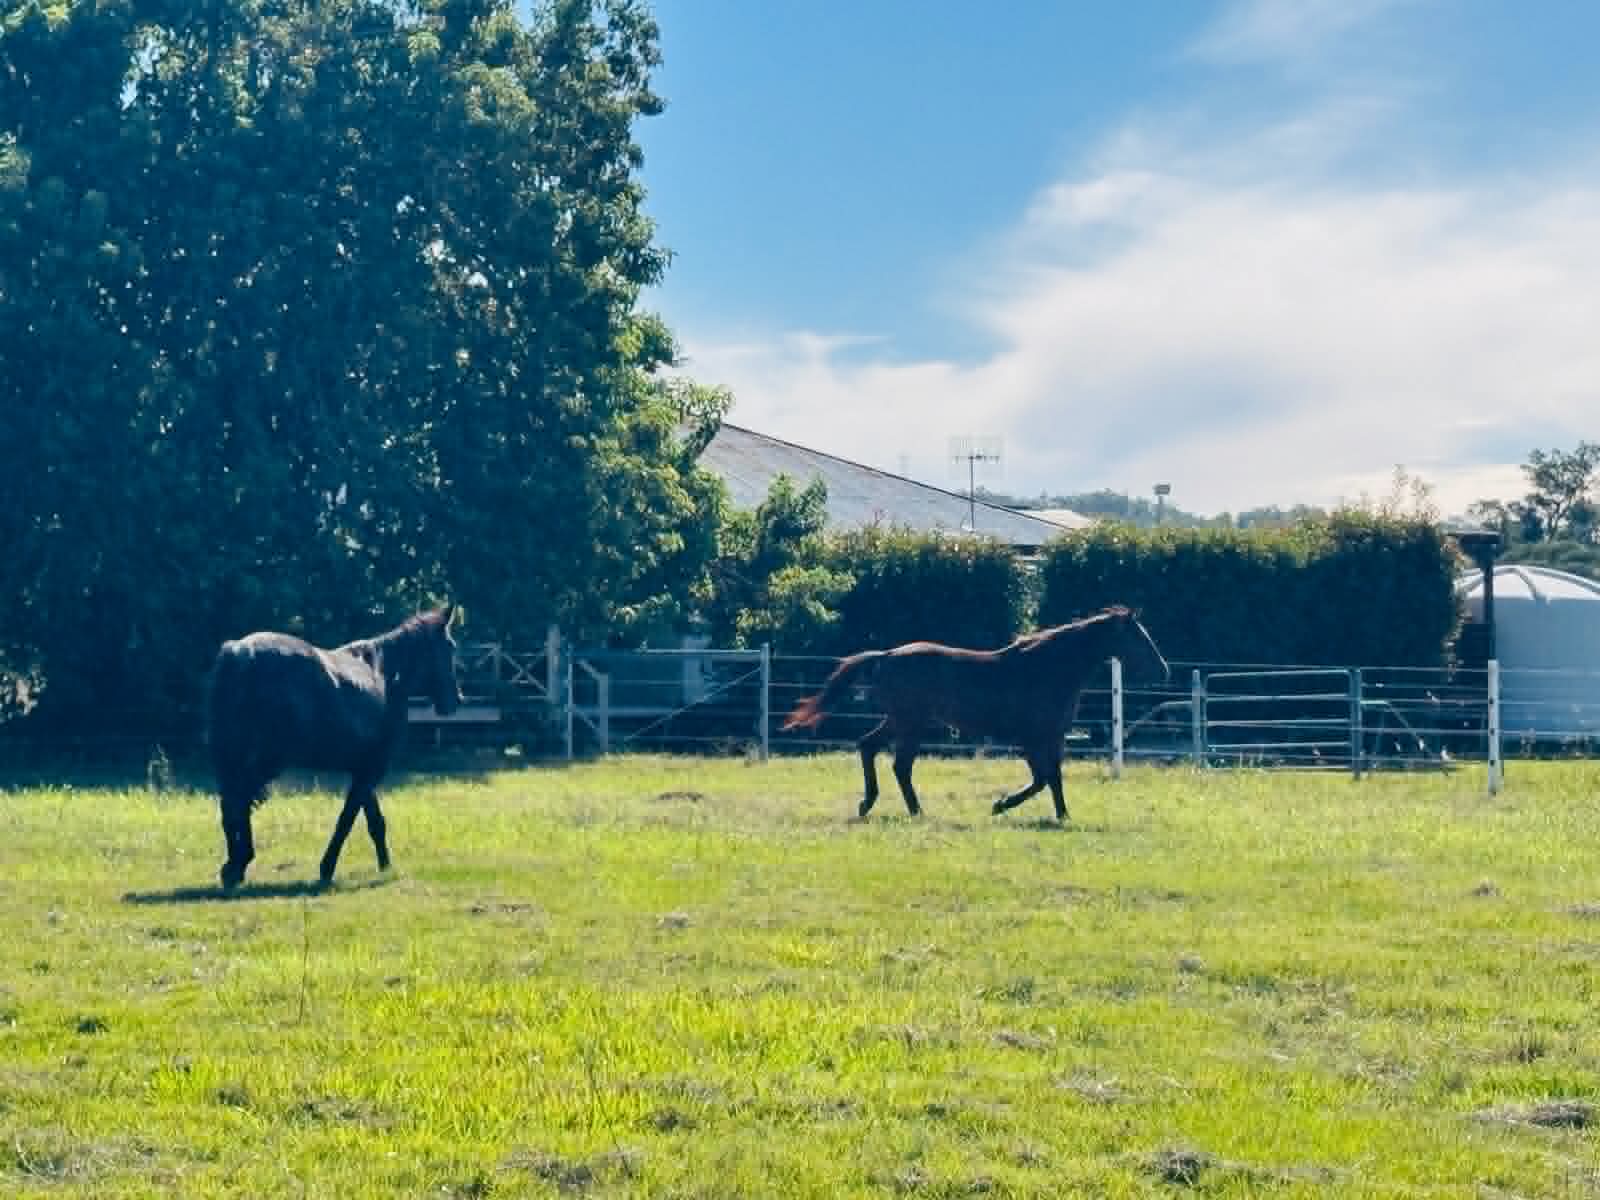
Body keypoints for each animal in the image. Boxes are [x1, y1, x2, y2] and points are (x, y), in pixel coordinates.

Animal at [207, 605, 463, 889]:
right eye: (450, 646)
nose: (456, 700)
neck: (384, 675)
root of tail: (240, 653)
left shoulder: (363, 768)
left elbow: (375, 822)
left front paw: (385, 866)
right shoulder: (373, 769)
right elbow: (347, 820)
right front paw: (327, 869)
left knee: (233, 803)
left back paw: (234, 867)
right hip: (265, 761)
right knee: (238, 801)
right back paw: (238, 864)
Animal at [781, 606, 1169, 822]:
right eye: (1138, 638)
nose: (1164, 670)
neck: (1047, 668)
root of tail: (886, 655)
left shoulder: (1052, 737)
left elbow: (1053, 778)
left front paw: (1062, 814)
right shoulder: (1032, 738)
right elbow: (1043, 779)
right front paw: (1001, 805)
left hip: (902, 721)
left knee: (869, 748)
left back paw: (871, 804)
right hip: (910, 723)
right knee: (898, 765)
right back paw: (913, 811)